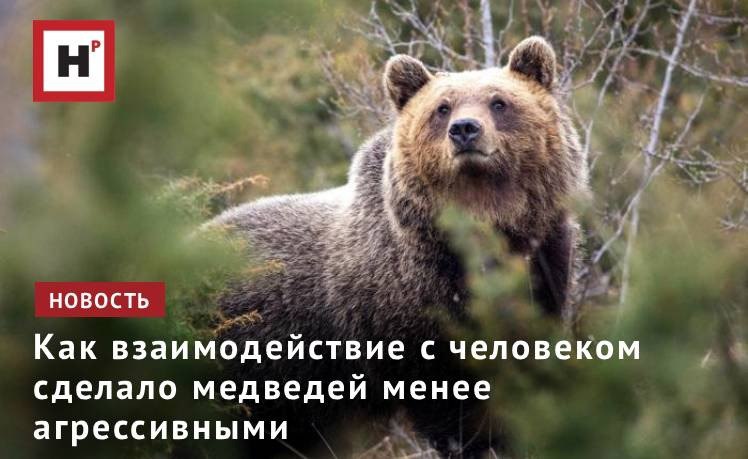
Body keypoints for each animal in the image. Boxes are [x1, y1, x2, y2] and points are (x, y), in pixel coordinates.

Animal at [211, 36, 587, 458]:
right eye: (442, 108)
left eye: (499, 102)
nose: (465, 129)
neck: (487, 230)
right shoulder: (410, 303)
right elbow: (450, 399)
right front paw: (474, 441)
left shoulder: (544, 260)